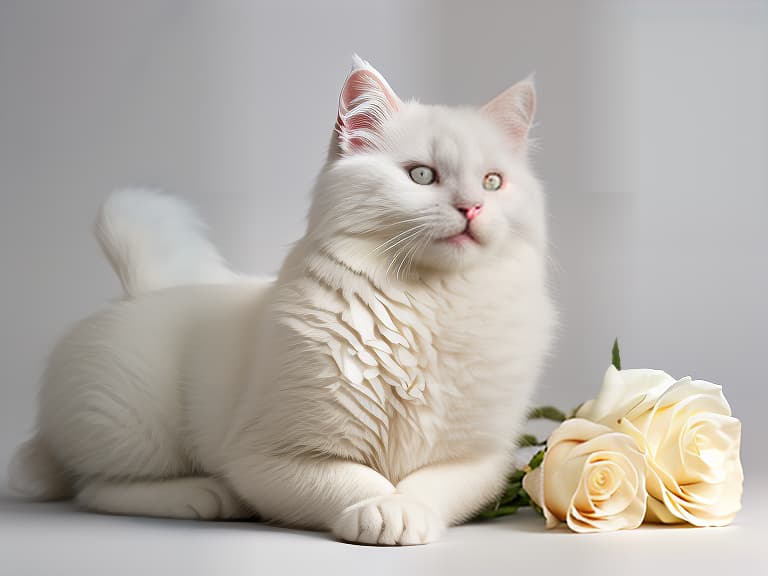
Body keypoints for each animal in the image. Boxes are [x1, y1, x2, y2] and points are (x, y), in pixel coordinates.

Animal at [9, 57, 556, 544]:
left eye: (492, 182)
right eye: (421, 176)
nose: (472, 207)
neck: (428, 303)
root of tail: (143, 288)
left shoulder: (480, 460)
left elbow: (428, 487)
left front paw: (405, 513)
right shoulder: (268, 457)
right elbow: (357, 480)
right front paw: (381, 512)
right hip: (135, 435)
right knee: (95, 488)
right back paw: (203, 497)